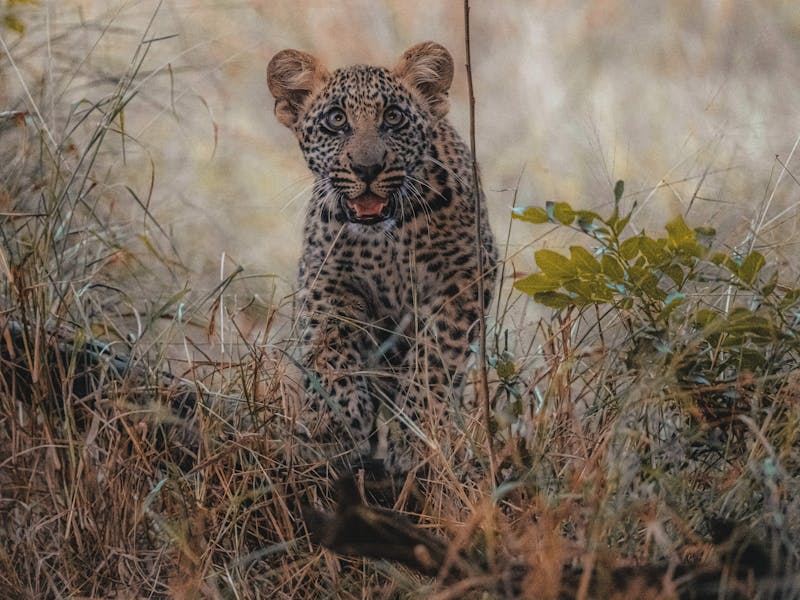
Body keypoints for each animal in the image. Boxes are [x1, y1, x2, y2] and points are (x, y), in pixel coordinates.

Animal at [266, 42, 497, 475]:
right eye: (336, 120)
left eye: (393, 118)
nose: (367, 168)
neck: (386, 238)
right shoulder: (323, 275)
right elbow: (329, 348)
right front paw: (335, 425)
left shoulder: (465, 275)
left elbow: (434, 358)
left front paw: (417, 438)